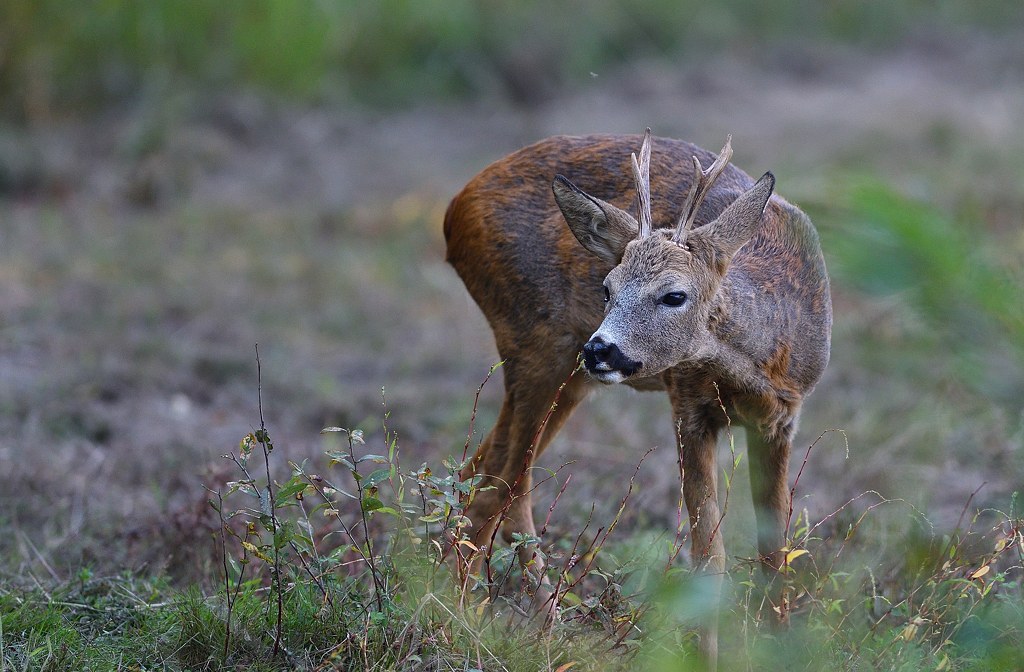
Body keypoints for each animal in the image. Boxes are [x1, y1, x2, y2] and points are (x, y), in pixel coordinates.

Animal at [444, 127, 827, 647]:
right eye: (606, 288)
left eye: (674, 295)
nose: (599, 349)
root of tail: (455, 209)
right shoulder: (689, 406)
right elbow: (709, 558)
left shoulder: (782, 418)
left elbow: (775, 554)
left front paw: (781, 646)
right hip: (534, 343)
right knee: (501, 488)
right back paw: (480, 618)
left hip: (566, 378)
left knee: (481, 473)